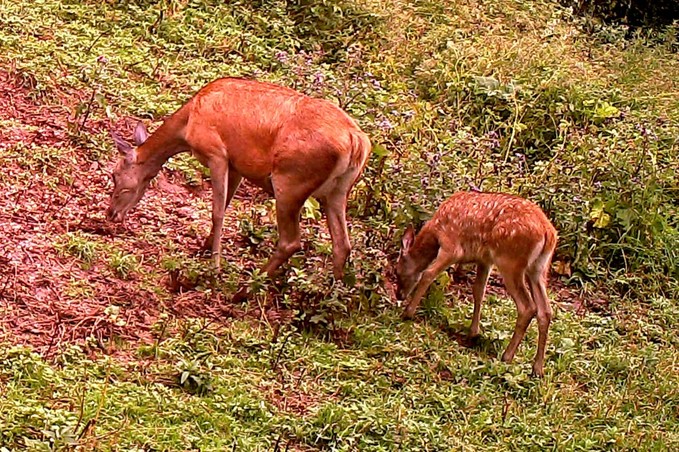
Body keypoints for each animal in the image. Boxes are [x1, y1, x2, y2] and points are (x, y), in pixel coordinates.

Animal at [106, 77, 372, 282]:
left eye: (115, 175)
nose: (110, 213)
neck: (187, 125)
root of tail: (357, 141)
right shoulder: (236, 167)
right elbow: (224, 206)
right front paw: (204, 249)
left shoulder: (217, 153)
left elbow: (217, 212)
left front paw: (214, 267)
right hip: (338, 191)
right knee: (342, 245)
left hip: (291, 181)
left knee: (291, 241)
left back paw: (245, 290)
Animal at [398, 192, 556, 378]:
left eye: (397, 271)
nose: (399, 295)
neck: (435, 230)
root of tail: (548, 233)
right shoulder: (485, 260)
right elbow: (478, 291)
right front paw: (473, 333)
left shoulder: (452, 247)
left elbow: (427, 274)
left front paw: (408, 312)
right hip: (538, 270)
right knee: (545, 311)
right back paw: (537, 368)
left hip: (510, 261)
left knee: (528, 307)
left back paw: (507, 356)